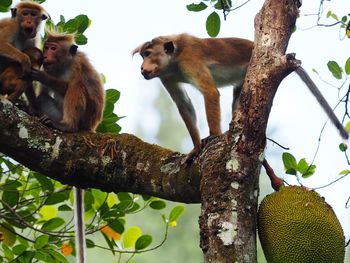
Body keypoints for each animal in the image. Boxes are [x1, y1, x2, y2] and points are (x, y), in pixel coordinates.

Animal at [31, 31, 105, 263]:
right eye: (46, 47)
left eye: (53, 48)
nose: (46, 54)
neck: (62, 66)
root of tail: (90, 129)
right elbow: (43, 93)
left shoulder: (77, 66)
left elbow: (70, 84)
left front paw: (42, 77)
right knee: (45, 98)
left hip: (85, 119)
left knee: (76, 87)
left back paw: (67, 126)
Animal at [133, 33, 348, 161]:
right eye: (143, 55)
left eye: (149, 54)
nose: (142, 68)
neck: (175, 59)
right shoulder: (166, 75)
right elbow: (183, 104)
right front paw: (195, 148)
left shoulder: (189, 60)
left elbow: (210, 92)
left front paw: (213, 136)